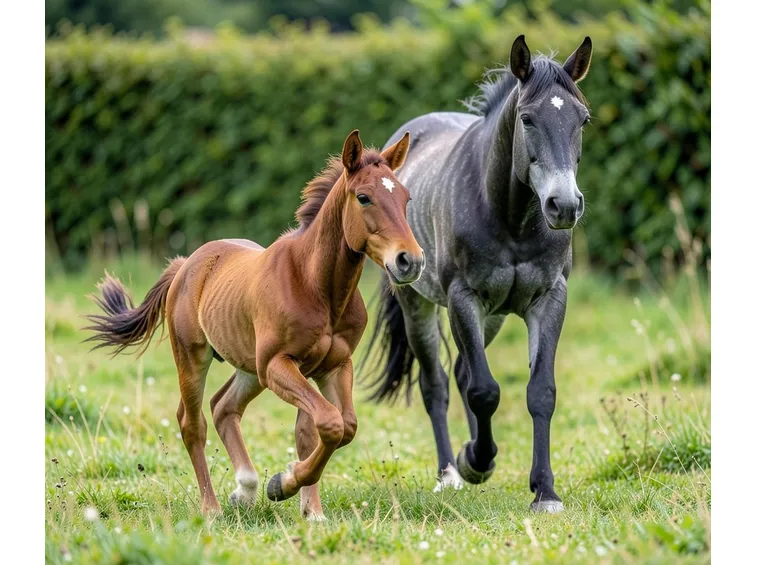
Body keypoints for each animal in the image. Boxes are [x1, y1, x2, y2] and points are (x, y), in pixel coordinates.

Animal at [85, 130, 425, 518]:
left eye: (405, 197)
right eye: (364, 197)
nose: (410, 261)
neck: (315, 285)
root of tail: (186, 265)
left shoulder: (333, 366)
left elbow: (336, 428)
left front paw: (309, 509)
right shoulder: (277, 364)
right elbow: (329, 423)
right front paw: (283, 484)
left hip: (249, 367)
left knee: (224, 407)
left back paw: (244, 491)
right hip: (197, 358)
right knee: (192, 422)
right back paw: (213, 507)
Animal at [363, 35, 593, 512]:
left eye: (582, 119)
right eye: (527, 118)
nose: (563, 206)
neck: (512, 219)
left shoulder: (548, 299)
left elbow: (540, 391)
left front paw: (545, 491)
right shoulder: (462, 299)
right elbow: (484, 392)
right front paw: (476, 460)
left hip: (494, 316)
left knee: (463, 371)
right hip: (419, 306)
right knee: (437, 384)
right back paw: (451, 472)